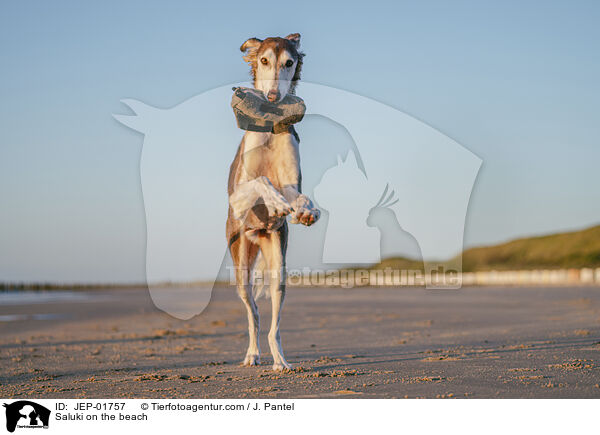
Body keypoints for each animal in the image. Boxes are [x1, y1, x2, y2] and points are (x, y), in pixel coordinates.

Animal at [226, 33, 322, 372]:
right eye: (264, 60)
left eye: (289, 62)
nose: (271, 97)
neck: (269, 128)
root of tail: (257, 235)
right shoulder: (237, 195)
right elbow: (262, 181)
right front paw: (277, 203)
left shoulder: (294, 183)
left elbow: (299, 194)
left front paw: (306, 210)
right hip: (241, 265)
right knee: (253, 314)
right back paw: (252, 355)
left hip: (278, 267)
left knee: (273, 326)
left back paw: (280, 360)